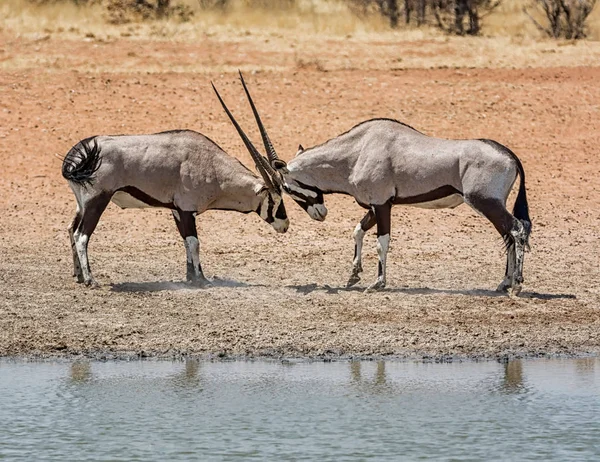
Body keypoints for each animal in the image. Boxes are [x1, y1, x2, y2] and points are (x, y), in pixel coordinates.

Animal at [61, 128, 288, 286]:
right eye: (275, 200)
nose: (285, 225)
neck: (213, 166)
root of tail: (76, 156)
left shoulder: (177, 210)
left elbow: (186, 241)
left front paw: (191, 277)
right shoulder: (187, 210)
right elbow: (194, 242)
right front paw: (201, 279)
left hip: (82, 204)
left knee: (71, 229)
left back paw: (78, 275)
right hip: (97, 201)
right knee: (81, 235)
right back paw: (90, 280)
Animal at [216, 72, 528, 296]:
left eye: (288, 190)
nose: (320, 214)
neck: (356, 152)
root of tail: (510, 155)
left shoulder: (382, 204)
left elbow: (382, 242)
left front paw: (377, 283)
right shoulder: (374, 205)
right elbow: (358, 231)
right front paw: (353, 275)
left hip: (485, 202)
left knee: (516, 230)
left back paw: (516, 284)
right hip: (491, 205)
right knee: (509, 235)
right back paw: (503, 283)